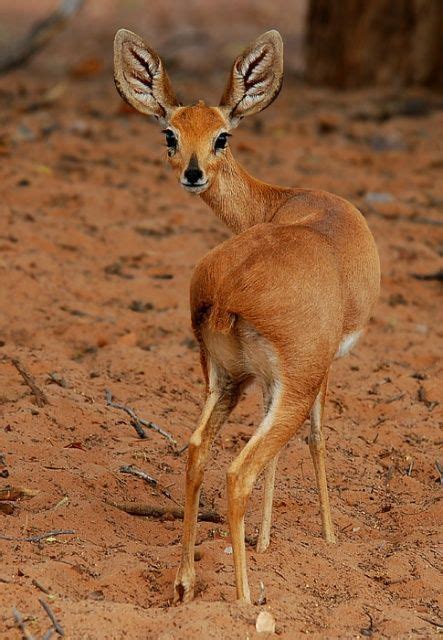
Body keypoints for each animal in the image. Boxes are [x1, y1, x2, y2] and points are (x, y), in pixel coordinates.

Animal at [114, 27, 382, 604]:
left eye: (221, 136)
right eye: (169, 134)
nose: (192, 174)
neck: (286, 202)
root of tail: (227, 285)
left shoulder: (263, 379)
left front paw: (265, 540)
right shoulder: (319, 369)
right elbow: (318, 438)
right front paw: (327, 537)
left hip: (224, 377)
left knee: (196, 452)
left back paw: (186, 583)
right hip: (292, 383)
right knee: (240, 471)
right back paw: (241, 598)